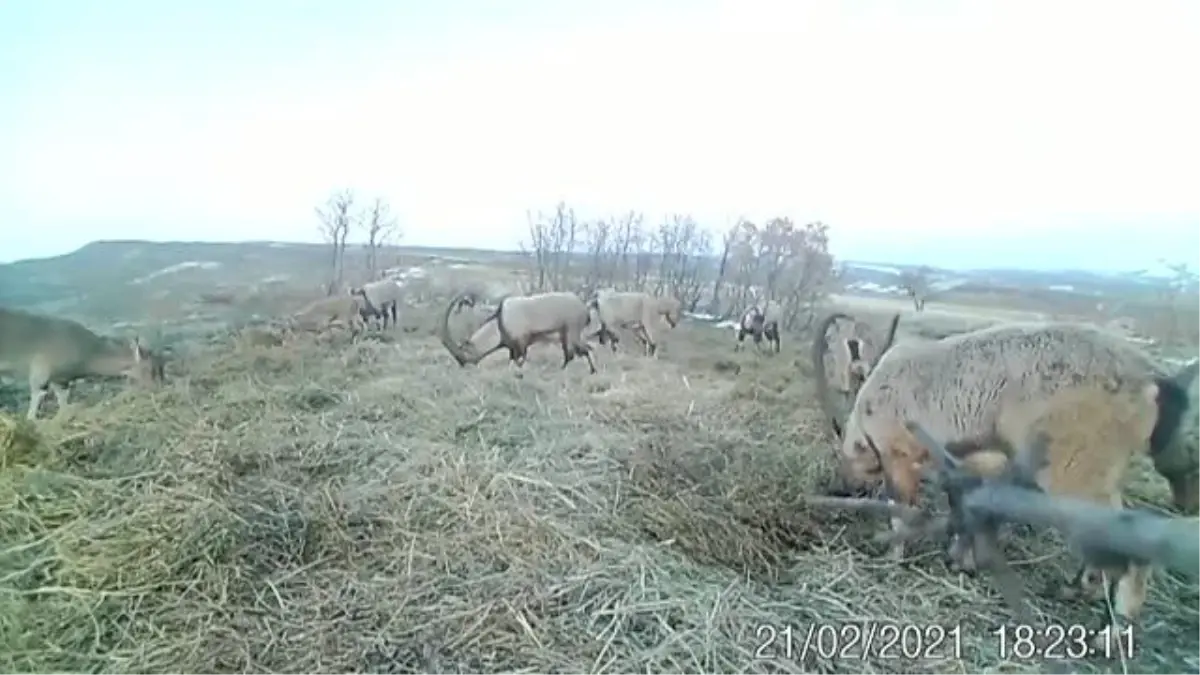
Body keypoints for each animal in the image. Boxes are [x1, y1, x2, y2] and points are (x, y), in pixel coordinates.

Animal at [0, 306, 166, 417]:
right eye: (151, 369)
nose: (159, 388)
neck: (88, 352)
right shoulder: (41, 368)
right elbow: (38, 394)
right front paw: (30, 421)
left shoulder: (60, 378)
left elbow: (63, 398)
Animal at [439, 289, 597, 372]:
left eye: (462, 356)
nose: (465, 368)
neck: (500, 322)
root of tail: (584, 308)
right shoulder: (512, 348)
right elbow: (511, 361)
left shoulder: (521, 344)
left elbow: (519, 361)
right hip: (568, 336)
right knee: (584, 349)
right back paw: (591, 371)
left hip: (570, 332)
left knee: (573, 353)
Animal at [820, 319, 1200, 557]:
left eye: (847, 456)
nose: (843, 486)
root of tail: (1151, 374)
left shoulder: (900, 454)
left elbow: (902, 505)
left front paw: (895, 553)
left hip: (1078, 467)